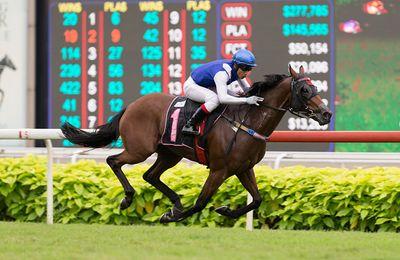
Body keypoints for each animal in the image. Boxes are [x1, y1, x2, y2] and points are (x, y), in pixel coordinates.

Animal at [61, 65, 332, 223]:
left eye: (315, 86)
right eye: (305, 90)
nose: (326, 114)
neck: (246, 122)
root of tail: (132, 105)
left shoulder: (244, 168)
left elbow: (257, 200)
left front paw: (225, 211)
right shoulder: (219, 169)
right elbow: (201, 202)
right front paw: (170, 217)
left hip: (170, 154)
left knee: (150, 175)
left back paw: (175, 203)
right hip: (140, 149)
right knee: (113, 161)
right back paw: (128, 198)